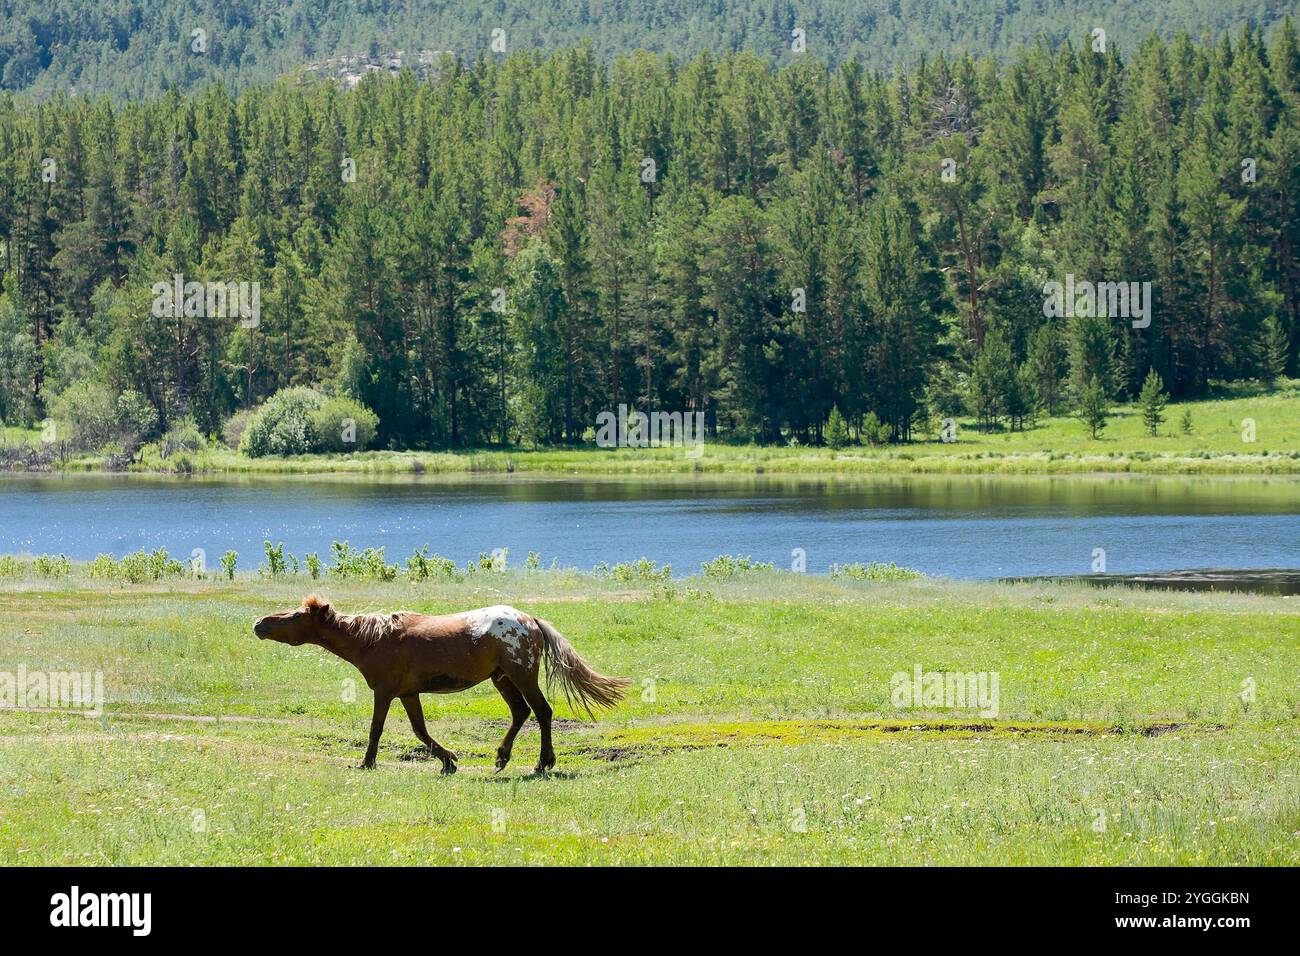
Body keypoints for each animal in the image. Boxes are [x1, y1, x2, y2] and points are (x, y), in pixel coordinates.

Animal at [253, 596, 629, 774]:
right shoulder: (408, 693)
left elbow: (377, 729)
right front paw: (448, 760)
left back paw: (541, 763)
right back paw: (501, 758)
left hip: (520, 675)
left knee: (542, 712)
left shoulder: (385, 692)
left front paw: (366, 762)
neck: (372, 640)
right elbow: (420, 730)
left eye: (296, 616)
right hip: (502, 678)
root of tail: (530, 621)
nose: (259, 624)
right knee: (521, 713)